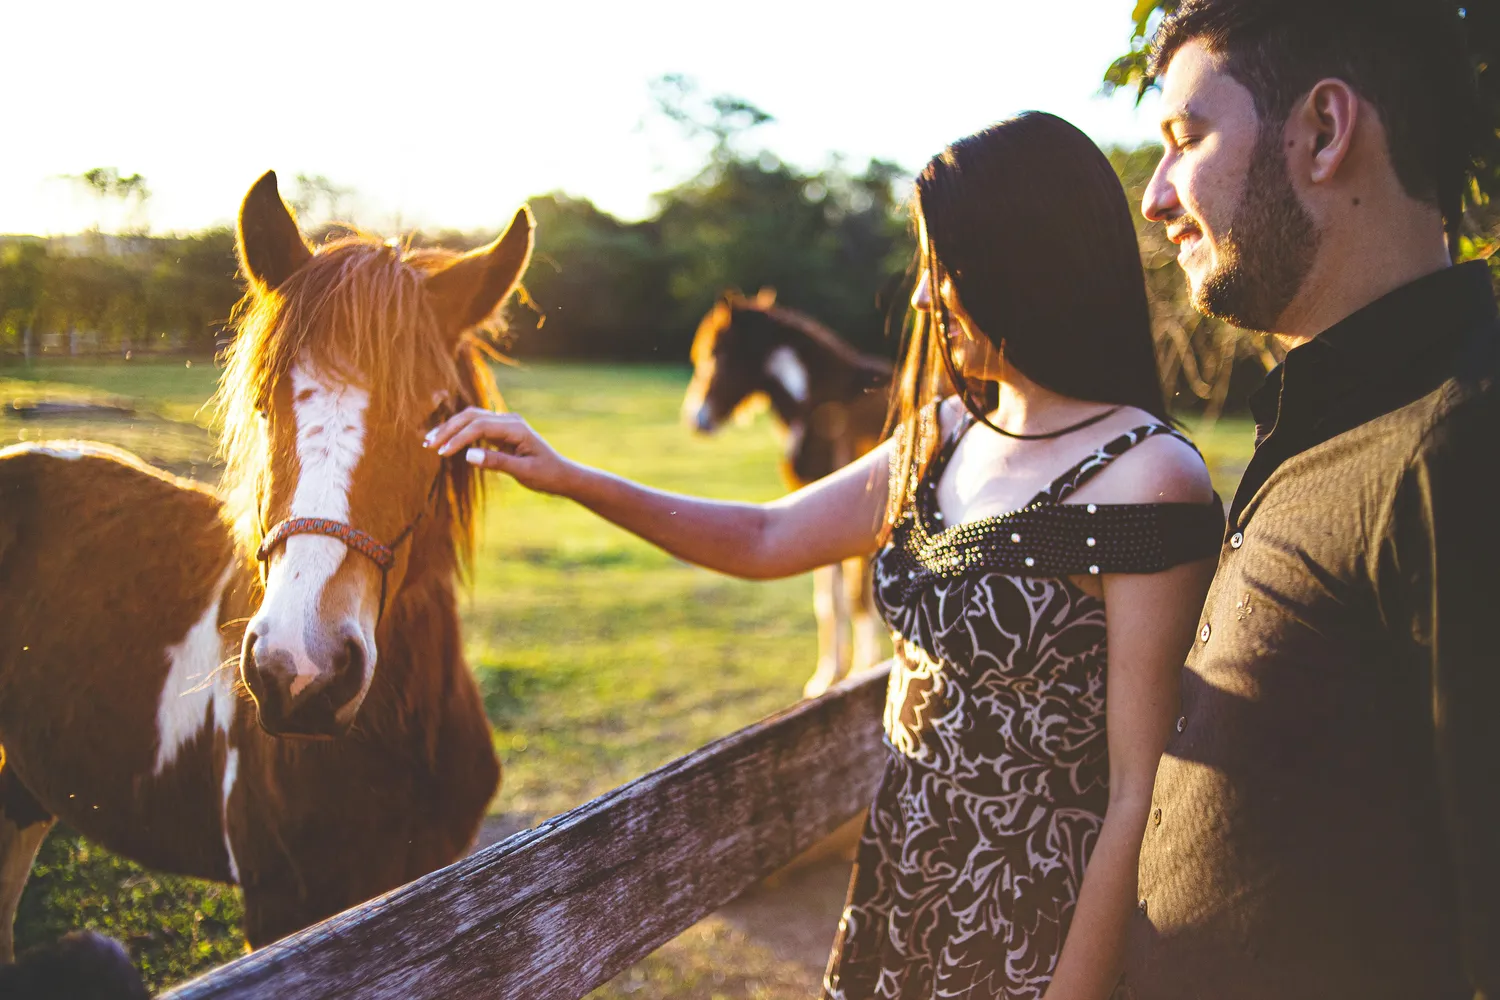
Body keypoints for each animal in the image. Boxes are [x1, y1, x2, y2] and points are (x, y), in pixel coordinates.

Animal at [681, 289, 893, 697]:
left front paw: (859, 670)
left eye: (715, 353)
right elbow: (830, 601)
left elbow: (855, 599)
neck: (819, 403)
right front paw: (828, 676)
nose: (695, 419)